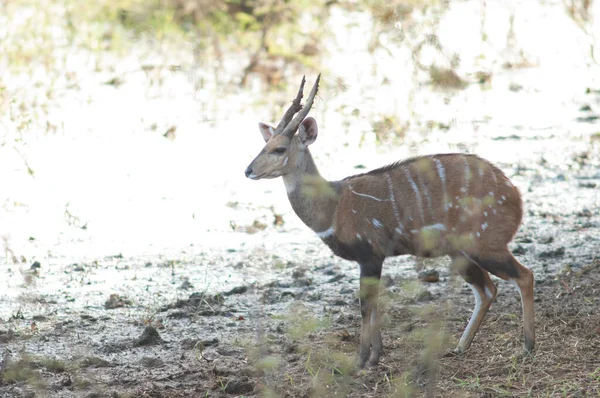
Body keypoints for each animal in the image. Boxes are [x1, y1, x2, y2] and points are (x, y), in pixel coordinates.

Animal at [246, 74, 536, 366]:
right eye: (263, 145)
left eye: (279, 149)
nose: (248, 170)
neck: (333, 206)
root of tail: (515, 195)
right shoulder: (374, 259)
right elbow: (374, 305)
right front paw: (376, 356)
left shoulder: (369, 254)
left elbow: (365, 306)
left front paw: (362, 360)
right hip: (460, 252)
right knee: (487, 290)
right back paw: (459, 347)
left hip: (485, 244)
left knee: (524, 276)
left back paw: (527, 346)